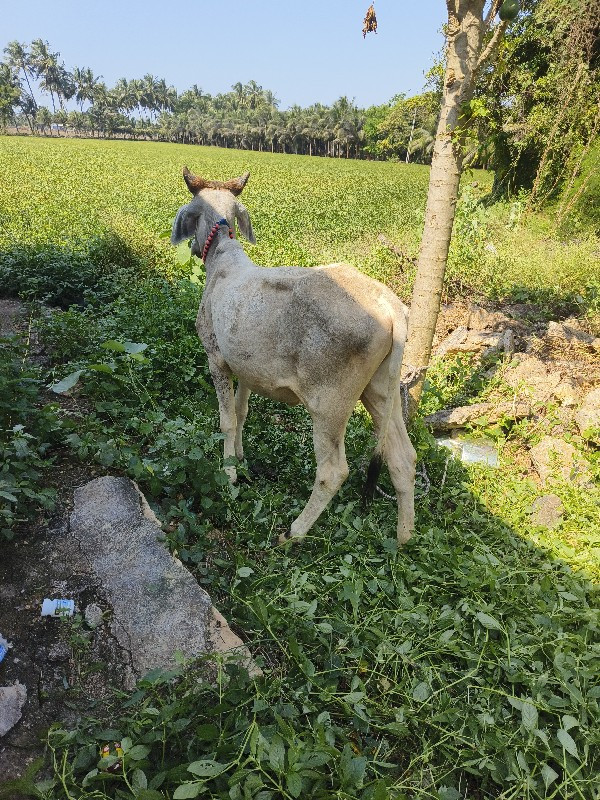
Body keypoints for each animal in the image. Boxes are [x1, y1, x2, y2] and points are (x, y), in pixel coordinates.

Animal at [171, 168, 414, 544]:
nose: (195, 248)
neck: (223, 257)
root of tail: (388, 303)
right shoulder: (246, 367)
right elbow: (241, 413)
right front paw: (240, 459)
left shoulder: (217, 357)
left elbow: (227, 421)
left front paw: (229, 475)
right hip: (380, 389)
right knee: (403, 457)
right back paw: (404, 537)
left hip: (330, 403)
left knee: (333, 471)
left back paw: (294, 532)